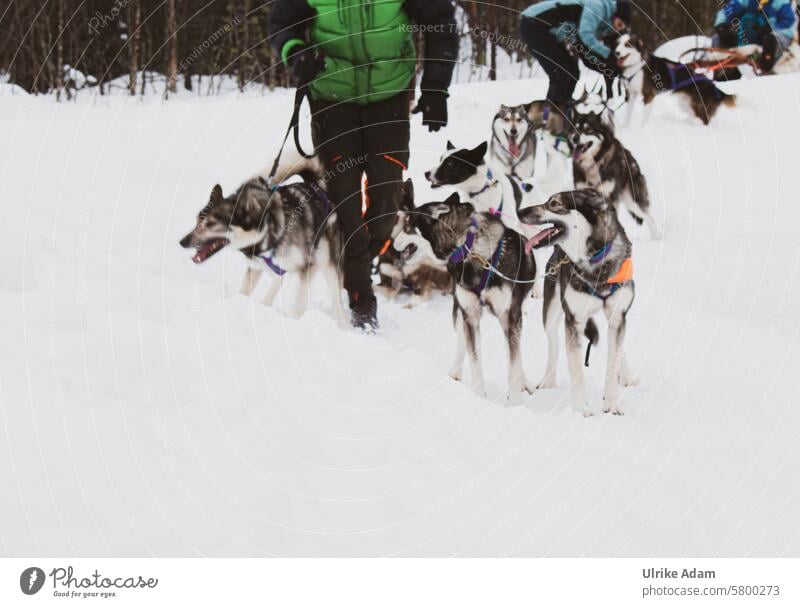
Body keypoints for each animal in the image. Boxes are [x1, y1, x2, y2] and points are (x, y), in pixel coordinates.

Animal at [180, 159, 346, 324]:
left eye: (210, 224)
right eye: (197, 222)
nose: (182, 242)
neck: (268, 229)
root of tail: (317, 188)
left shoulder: (307, 266)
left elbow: (297, 303)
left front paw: (293, 321)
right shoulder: (255, 267)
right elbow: (245, 290)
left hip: (328, 264)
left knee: (336, 298)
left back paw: (343, 324)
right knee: (278, 279)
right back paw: (265, 303)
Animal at [394, 194, 536, 404]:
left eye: (407, 226)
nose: (393, 242)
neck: (470, 249)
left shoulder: (510, 317)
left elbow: (513, 364)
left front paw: (515, 402)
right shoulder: (470, 313)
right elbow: (474, 359)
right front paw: (478, 397)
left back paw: (524, 381)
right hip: (460, 311)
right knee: (462, 340)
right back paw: (454, 372)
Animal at [520, 190, 636, 418]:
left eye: (555, 203)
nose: (520, 211)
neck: (594, 260)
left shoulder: (618, 316)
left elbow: (614, 360)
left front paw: (611, 404)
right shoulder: (573, 320)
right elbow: (576, 372)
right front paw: (582, 409)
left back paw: (626, 374)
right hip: (552, 310)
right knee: (553, 346)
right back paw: (548, 380)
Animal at [568, 111, 664, 240]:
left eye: (588, 129)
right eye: (575, 128)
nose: (575, 138)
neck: (594, 163)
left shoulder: (609, 199)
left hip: (632, 201)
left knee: (648, 216)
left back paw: (656, 237)